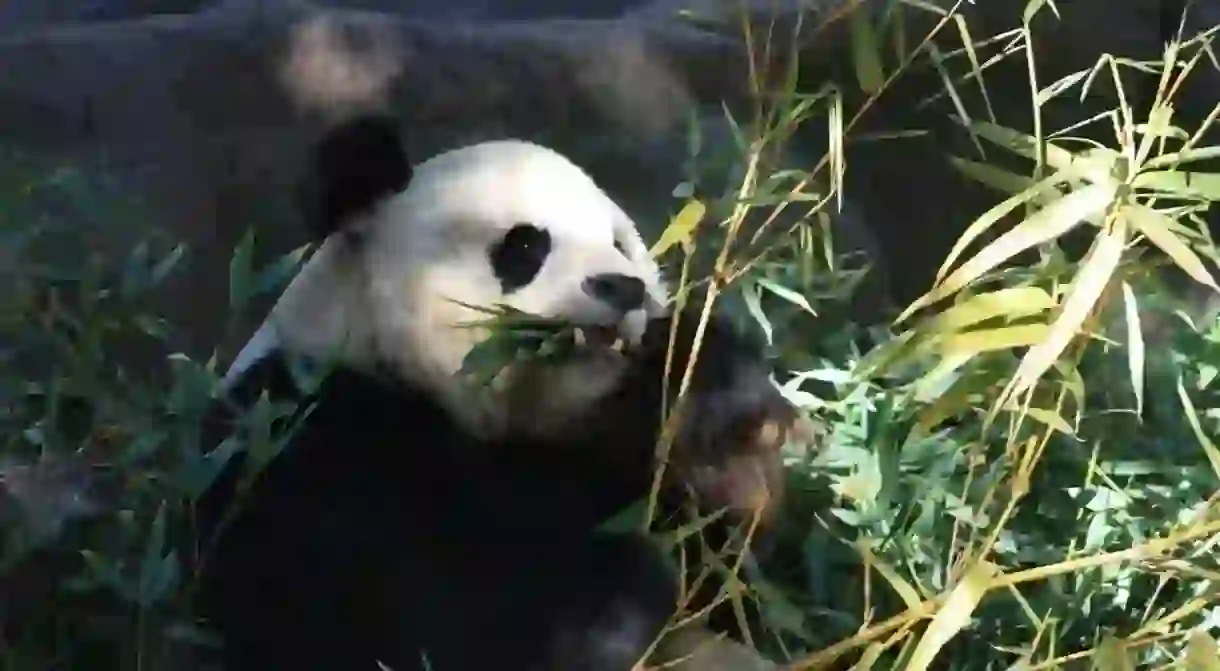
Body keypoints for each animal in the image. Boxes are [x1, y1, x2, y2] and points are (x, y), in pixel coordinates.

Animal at [195, 112, 805, 668]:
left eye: (620, 244)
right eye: (526, 245)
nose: (623, 287)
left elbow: (729, 583)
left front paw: (725, 405)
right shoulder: (301, 431)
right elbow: (429, 618)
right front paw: (617, 590)